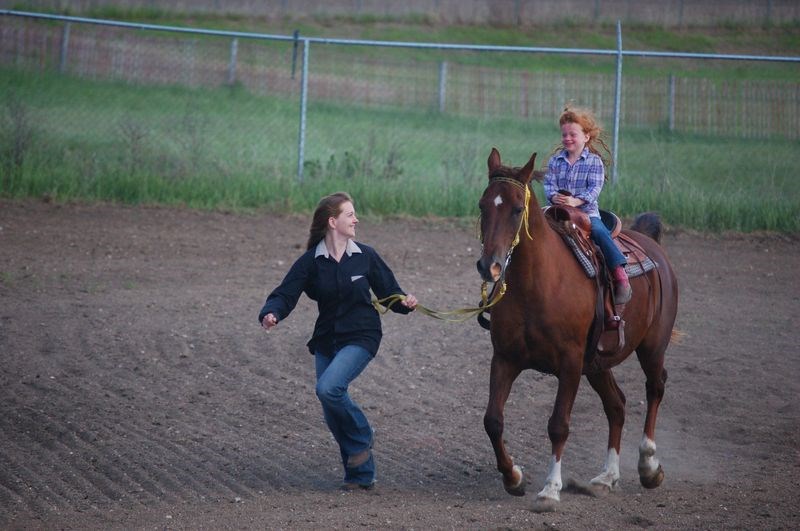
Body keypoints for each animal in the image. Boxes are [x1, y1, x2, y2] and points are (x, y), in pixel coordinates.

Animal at [478, 148, 680, 512]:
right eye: (482, 205)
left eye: (517, 209)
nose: (490, 266)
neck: (539, 282)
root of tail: (650, 242)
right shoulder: (505, 358)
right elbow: (493, 420)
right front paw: (514, 477)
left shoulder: (569, 363)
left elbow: (559, 425)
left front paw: (549, 490)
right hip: (597, 364)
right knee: (617, 405)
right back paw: (606, 478)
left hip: (652, 347)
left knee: (655, 388)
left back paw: (648, 466)